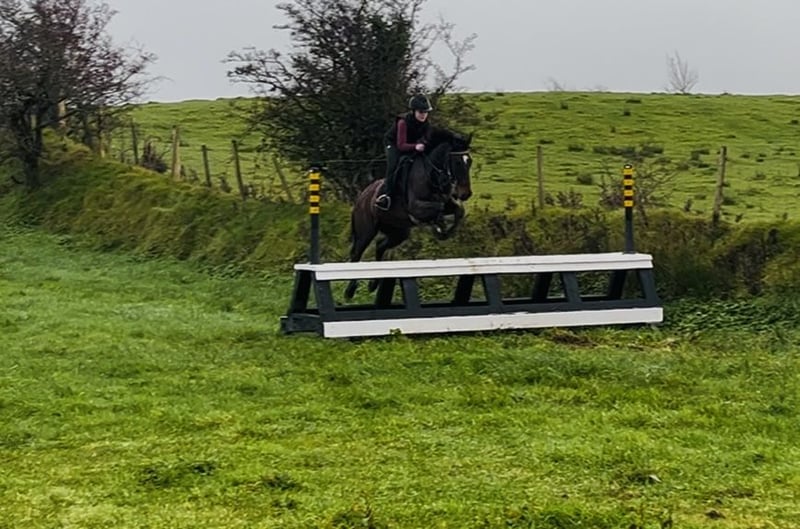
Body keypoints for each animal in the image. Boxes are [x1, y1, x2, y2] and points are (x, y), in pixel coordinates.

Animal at [344, 130, 474, 300]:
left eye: (469, 161)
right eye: (457, 162)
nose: (465, 194)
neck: (432, 176)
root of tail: (361, 197)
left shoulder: (447, 203)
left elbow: (458, 211)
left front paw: (443, 232)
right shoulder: (416, 207)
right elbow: (437, 209)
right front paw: (439, 228)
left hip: (398, 232)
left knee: (380, 245)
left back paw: (374, 284)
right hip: (366, 231)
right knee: (356, 254)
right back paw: (350, 290)